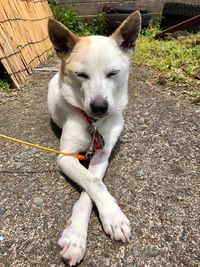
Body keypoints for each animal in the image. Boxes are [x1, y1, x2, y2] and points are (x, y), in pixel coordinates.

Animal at [47, 11, 141, 266]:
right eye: (81, 74)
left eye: (113, 73)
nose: (100, 107)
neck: (93, 124)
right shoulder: (66, 157)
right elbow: (93, 182)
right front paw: (112, 217)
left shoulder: (101, 154)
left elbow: (93, 184)